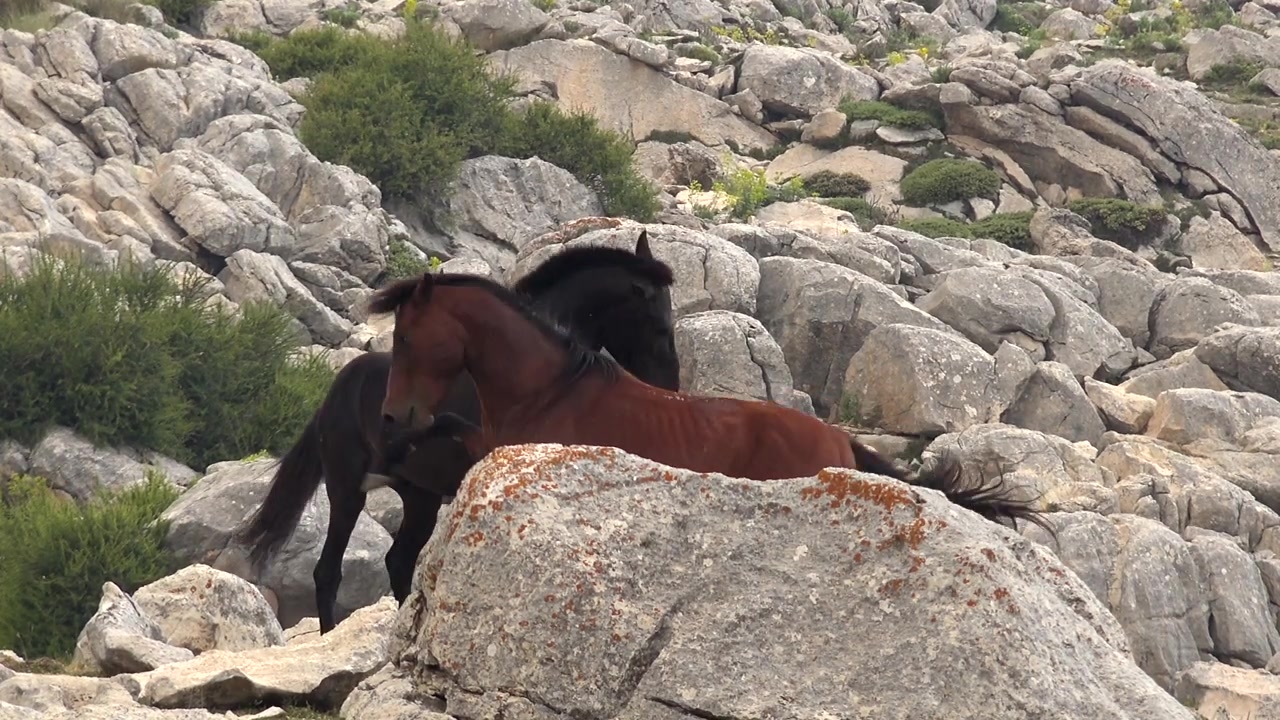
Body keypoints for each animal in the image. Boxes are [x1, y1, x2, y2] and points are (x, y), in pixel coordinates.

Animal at [238, 231, 682, 634]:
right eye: (661, 325)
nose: (670, 388)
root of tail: (334, 392)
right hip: (347, 490)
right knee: (328, 572)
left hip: (419, 496)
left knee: (397, 561)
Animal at [370, 270, 1050, 532]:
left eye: (406, 338)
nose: (393, 412)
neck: (547, 391)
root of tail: (840, 441)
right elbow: (449, 432)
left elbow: (444, 436)